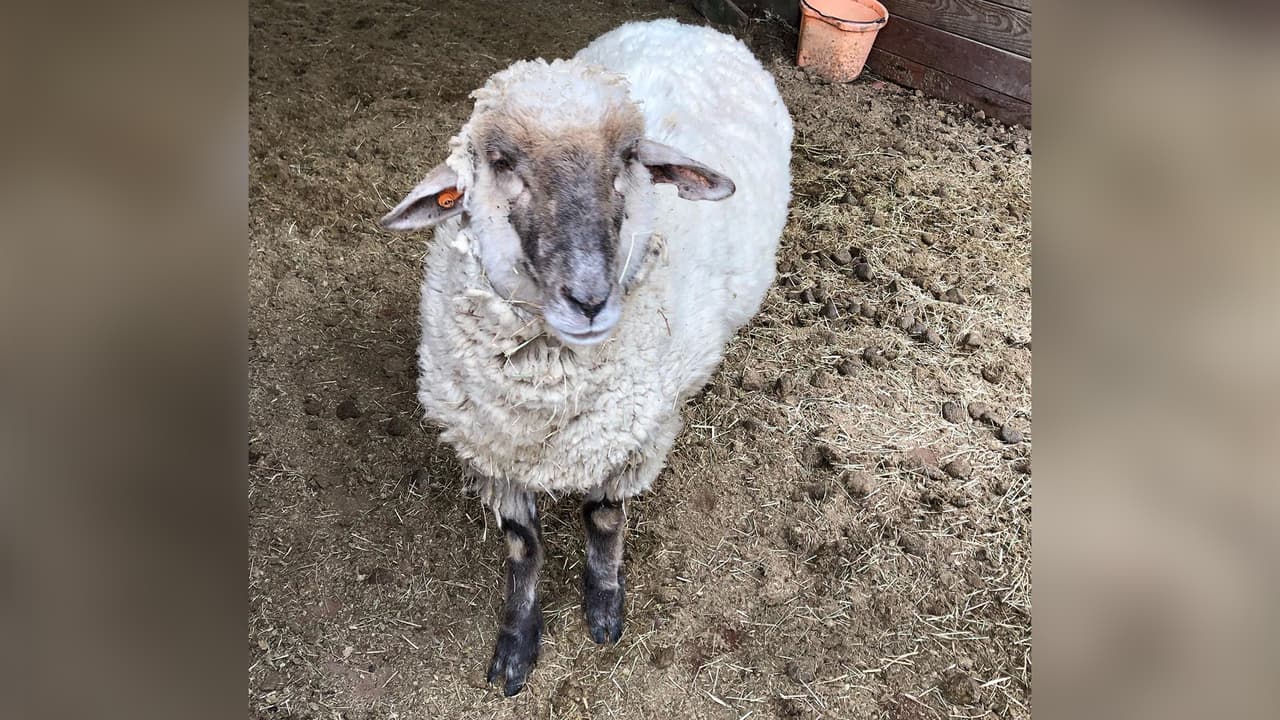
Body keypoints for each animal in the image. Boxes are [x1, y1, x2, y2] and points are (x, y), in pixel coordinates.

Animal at [379, 19, 792, 695]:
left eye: (629, 158)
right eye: (500, 162)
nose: (590, 300)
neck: (549, 388)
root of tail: (690, 24)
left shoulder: (637, 436)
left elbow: (602, 519)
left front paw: (602, 605)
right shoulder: (495, 452)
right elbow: (523, 546)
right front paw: (518, 642)